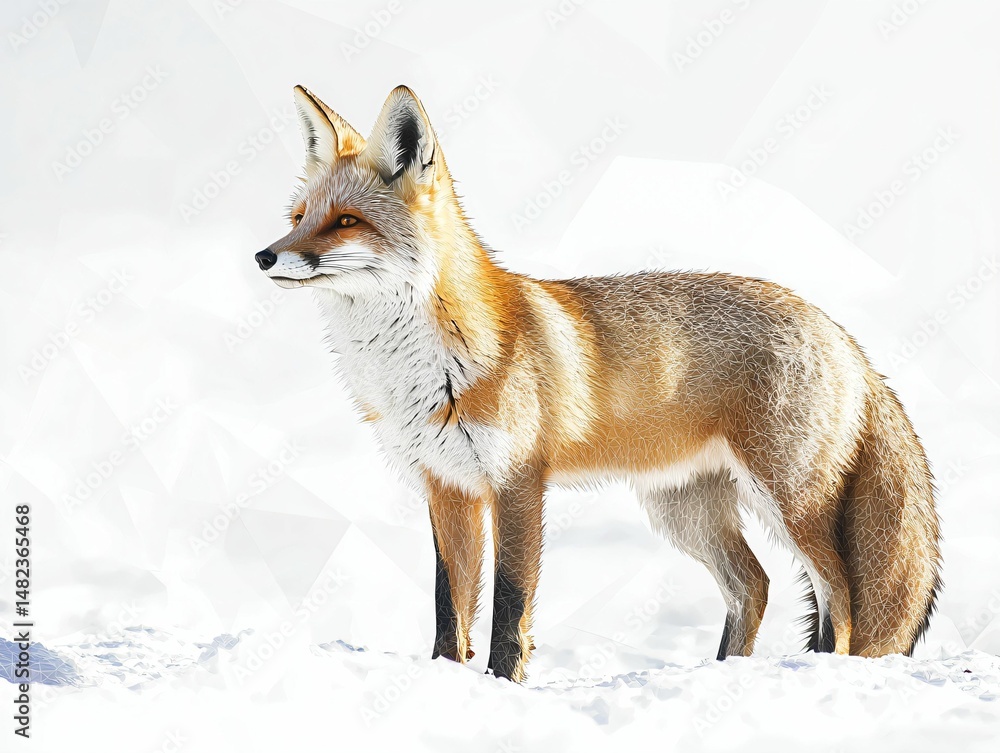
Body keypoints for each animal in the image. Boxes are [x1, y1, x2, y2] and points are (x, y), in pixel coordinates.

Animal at [253, 84, 942, 682]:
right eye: (298, 217)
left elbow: (510, 607)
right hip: (683, 511)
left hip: (787, 501)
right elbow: (451, 611)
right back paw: (723, 673)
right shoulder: (447, 487)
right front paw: (448, 681)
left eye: (346, 221)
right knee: (757, 586)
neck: (426, 372)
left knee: (840, 595)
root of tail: (842, 335)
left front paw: (502, 686)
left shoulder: (518, 482)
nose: (264, 256)